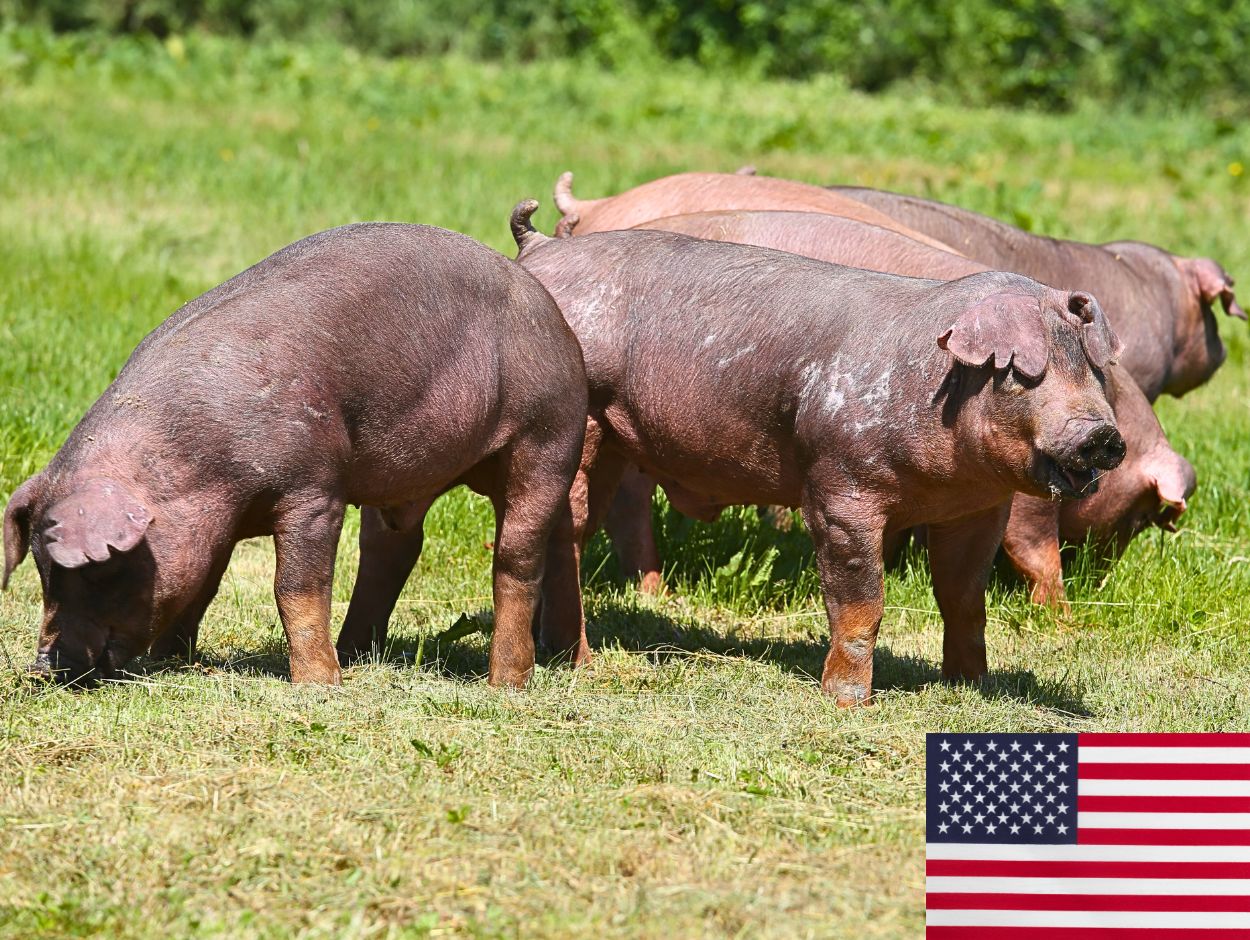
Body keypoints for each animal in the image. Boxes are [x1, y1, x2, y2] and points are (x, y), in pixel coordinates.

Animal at [2, 221, 587, 690]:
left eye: (96, 570)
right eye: (42, 571)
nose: (42, 666)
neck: (199, 470)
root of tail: (547, 307)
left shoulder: (314, 488)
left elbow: (296, 587)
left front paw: (318, 686)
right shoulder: (214, 525)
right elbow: (203, 586)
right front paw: (172, 661)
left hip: (548, 433)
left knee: (518, 554)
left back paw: (505, 683)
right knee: (415, 548)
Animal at [507, 205, 1125, 705]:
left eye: (1094, 371)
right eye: (1024, 375)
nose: (1102, 435)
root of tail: (539, 249)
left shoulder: (978, 509)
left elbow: (964, 597)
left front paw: (970, 685)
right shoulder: (839, 486)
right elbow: (862, 603)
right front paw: (849, 702)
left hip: (614, 440)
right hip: (579, 424)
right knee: (568, 532)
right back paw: (580, 663)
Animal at [625, 212, 1200, 605]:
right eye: (1143, 515)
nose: (1104, 437)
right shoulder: (1024, 495)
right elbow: (1036, 549)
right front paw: (1061, 617)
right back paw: (653, 591)